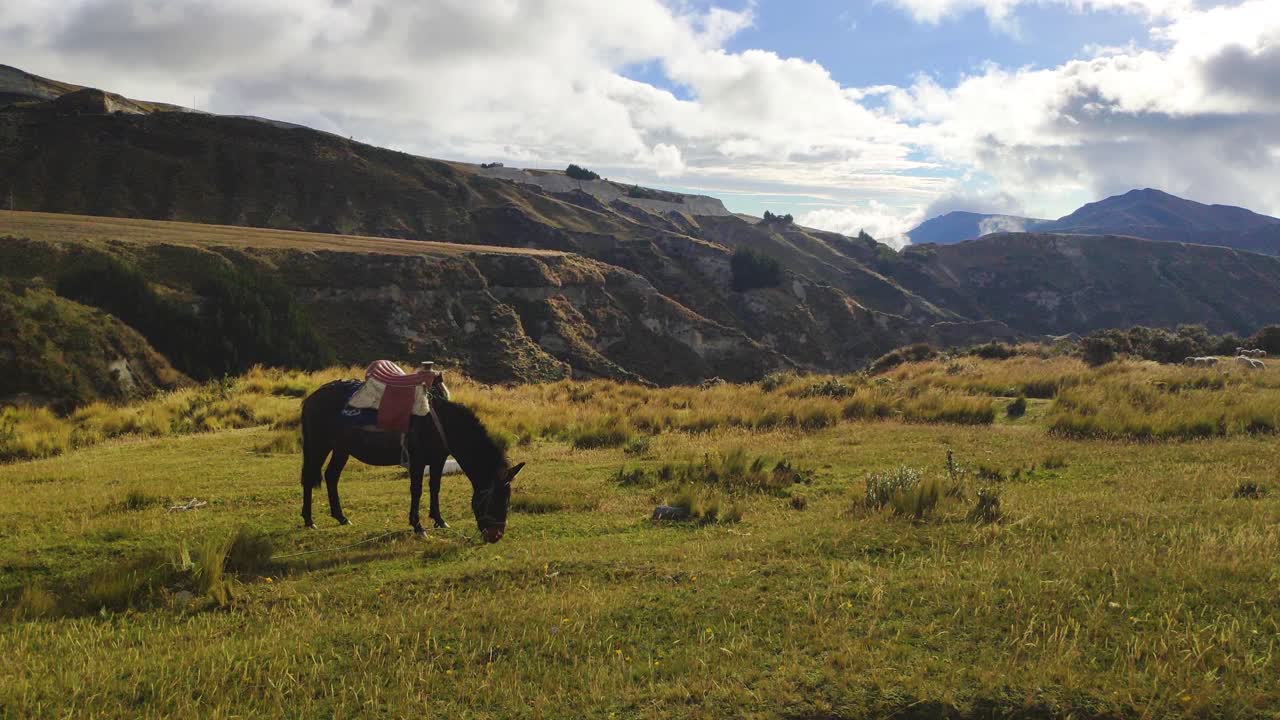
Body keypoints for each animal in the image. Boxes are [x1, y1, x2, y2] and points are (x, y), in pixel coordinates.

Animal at [299, 375, 523, 543]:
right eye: (494, 499)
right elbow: (417, 490)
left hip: (341, 448)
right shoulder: (417, 461)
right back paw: (309, 520)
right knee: (309, 477)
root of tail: (312, 398)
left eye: (508, 498)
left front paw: (439, 520)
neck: (439, 422)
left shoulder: (438, 459)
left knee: (331, 476)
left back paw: (341, 517)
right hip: (319, 445)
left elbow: (435, 487)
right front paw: (418, 527)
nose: (496, 535)